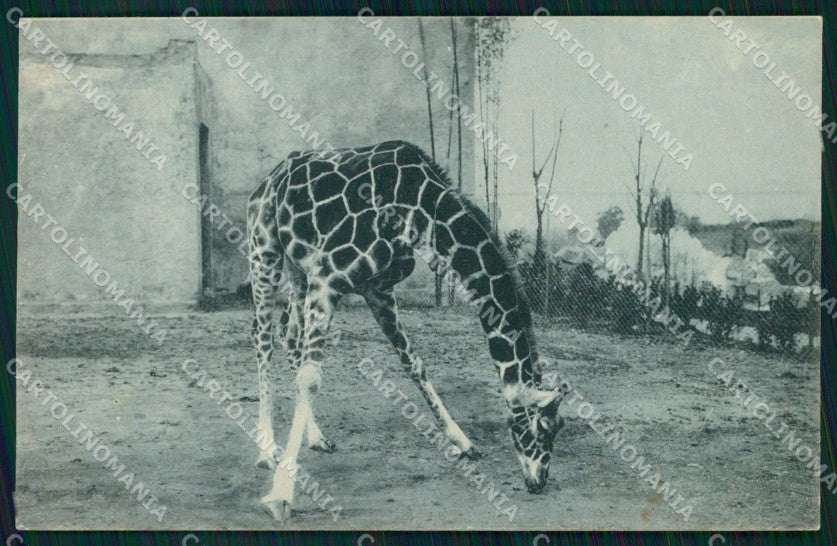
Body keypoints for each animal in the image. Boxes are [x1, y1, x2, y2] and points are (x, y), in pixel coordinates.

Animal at [246, 140, 566, 522]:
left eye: (559, 427)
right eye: (544, 427)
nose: (538, 481)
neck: (419, 209)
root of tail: (270, 177)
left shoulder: (377, 288)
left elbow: (414, 363)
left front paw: (463, 441)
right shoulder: (328, 276)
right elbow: (310, 378)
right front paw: (281, 495)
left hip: (298, 267)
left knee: (288, 333)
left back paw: (317, 437)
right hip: (264, 251)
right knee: (262, 336)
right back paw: (266, 450)